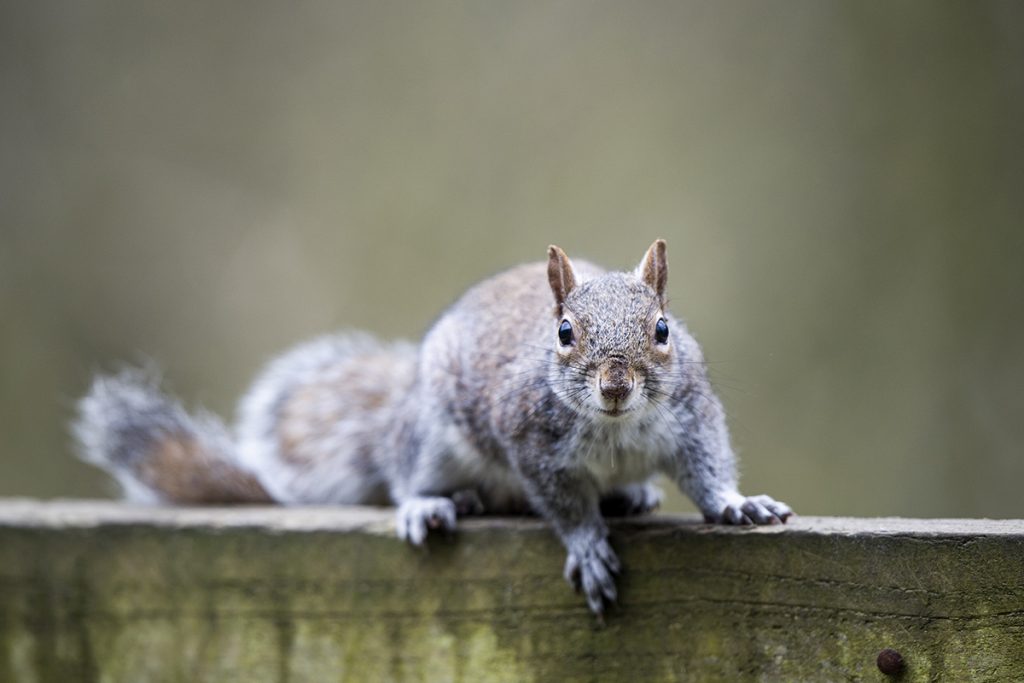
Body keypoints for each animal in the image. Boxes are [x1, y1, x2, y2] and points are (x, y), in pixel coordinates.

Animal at [75, 239, 790, 614]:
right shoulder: (531, 445)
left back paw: (630, 494)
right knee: (409, 475)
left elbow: (706, 468)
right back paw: (436, 502)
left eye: (663, 330)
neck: (615, 428)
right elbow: (563, 505)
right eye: (563, 334)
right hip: (431, 437)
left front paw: (737, 504)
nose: (615, 386)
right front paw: (588, 545)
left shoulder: (692, 416)